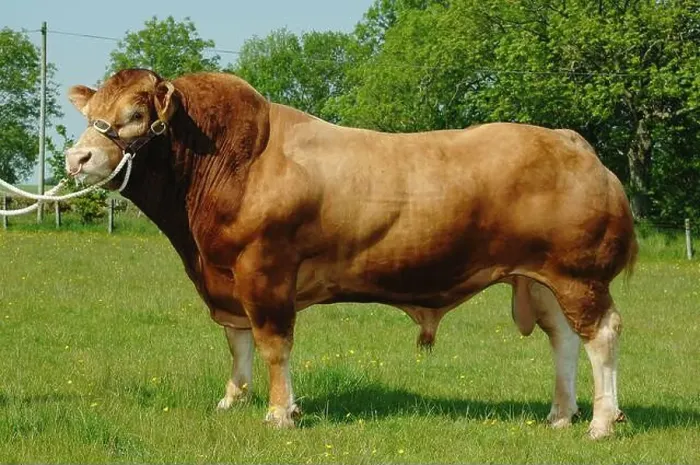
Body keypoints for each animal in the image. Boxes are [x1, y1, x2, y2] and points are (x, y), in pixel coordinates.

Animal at [64, 69, 637, 439]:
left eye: (136, 114)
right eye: (91, 113)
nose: (77, 158)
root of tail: (575, 144)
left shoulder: (265, 272)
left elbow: (273, 344)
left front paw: (280, 414)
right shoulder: (226, 279)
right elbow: (238, 342)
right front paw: (232, 399)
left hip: (579, 275)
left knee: (602, 335)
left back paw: (601, 423)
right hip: (542, 279)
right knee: (563, 339)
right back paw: (560, 415)